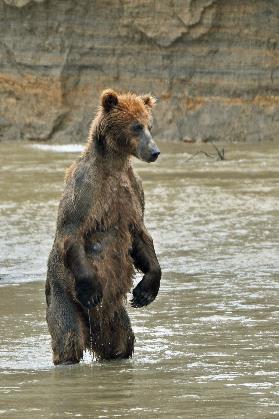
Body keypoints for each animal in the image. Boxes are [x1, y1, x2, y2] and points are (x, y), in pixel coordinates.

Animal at [45, 88, 162, 364]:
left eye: (149, 125)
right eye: (136, 126)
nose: (154, 152)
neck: (114, 164)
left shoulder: (133, 191)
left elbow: (140, 235)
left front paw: (145, 291)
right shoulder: (86, 188)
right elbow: (72, 230)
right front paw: (91, 289)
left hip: (112, 314)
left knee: (121, 339)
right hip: (62, 295)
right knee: (68, 337)